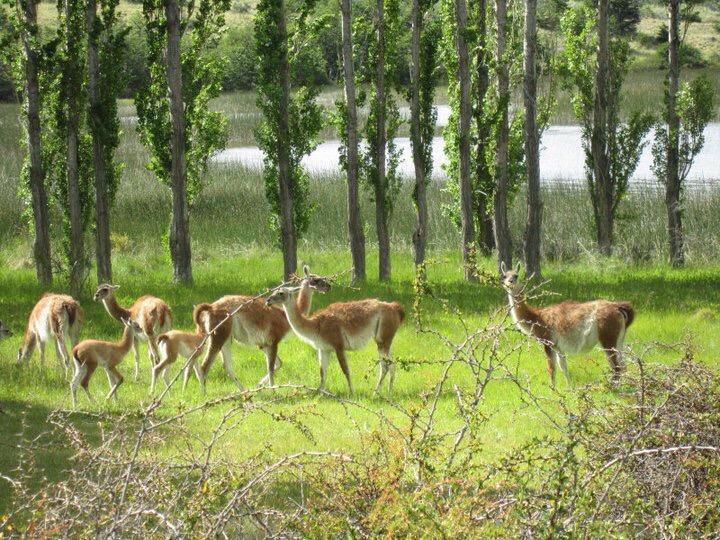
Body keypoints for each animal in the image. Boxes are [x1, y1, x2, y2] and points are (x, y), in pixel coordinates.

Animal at [194, 266, 334, 390]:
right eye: (316, 279)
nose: (328, 286)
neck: (284, 317)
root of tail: (211, 307)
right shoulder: (274, 340)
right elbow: (271, 368)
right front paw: (273, 391)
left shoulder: (263, 344)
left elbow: (278, 364)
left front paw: (259, 385)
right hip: (219, 334)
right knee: (204, 367)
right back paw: (204, 395)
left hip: (226, 337)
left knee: (227, 367)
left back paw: (244, 392)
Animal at [266, 288, 404, 394]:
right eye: (274, 291)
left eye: (281, 293)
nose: (268, 300)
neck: (315, 325)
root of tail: (395, 307)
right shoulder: (323, 349)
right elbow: (322, 372)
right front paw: (319, 392)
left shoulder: (338, 345)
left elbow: (345, 370)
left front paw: (351, 392)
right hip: (386, 339)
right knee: (392, 364)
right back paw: (389, 391)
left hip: (382, 338)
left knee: (385, 366)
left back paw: (376, 392)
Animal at [504, 260, 632, 384]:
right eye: (504, 276)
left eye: (516, 275)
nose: (510, 282)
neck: (537, 317)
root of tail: (617, 307)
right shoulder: (558, 346)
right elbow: (563, 367)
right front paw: (570, 388)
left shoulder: (548, 342)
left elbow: (551, 369)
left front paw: (553, 389)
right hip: (619, 339)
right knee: (623, 366)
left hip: (608, 338)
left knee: (617, 367)